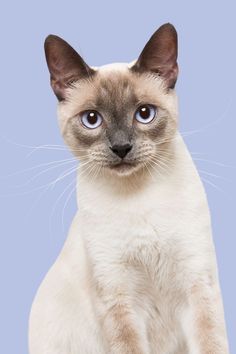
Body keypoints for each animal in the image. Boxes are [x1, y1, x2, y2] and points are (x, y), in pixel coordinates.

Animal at [28, 23, 230, 352]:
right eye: (92, 119)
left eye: (144, 114)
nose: (121, 147)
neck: (138, 196)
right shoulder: (119, 299)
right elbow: (129, 344)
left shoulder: (197, 284)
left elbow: (211, 343)